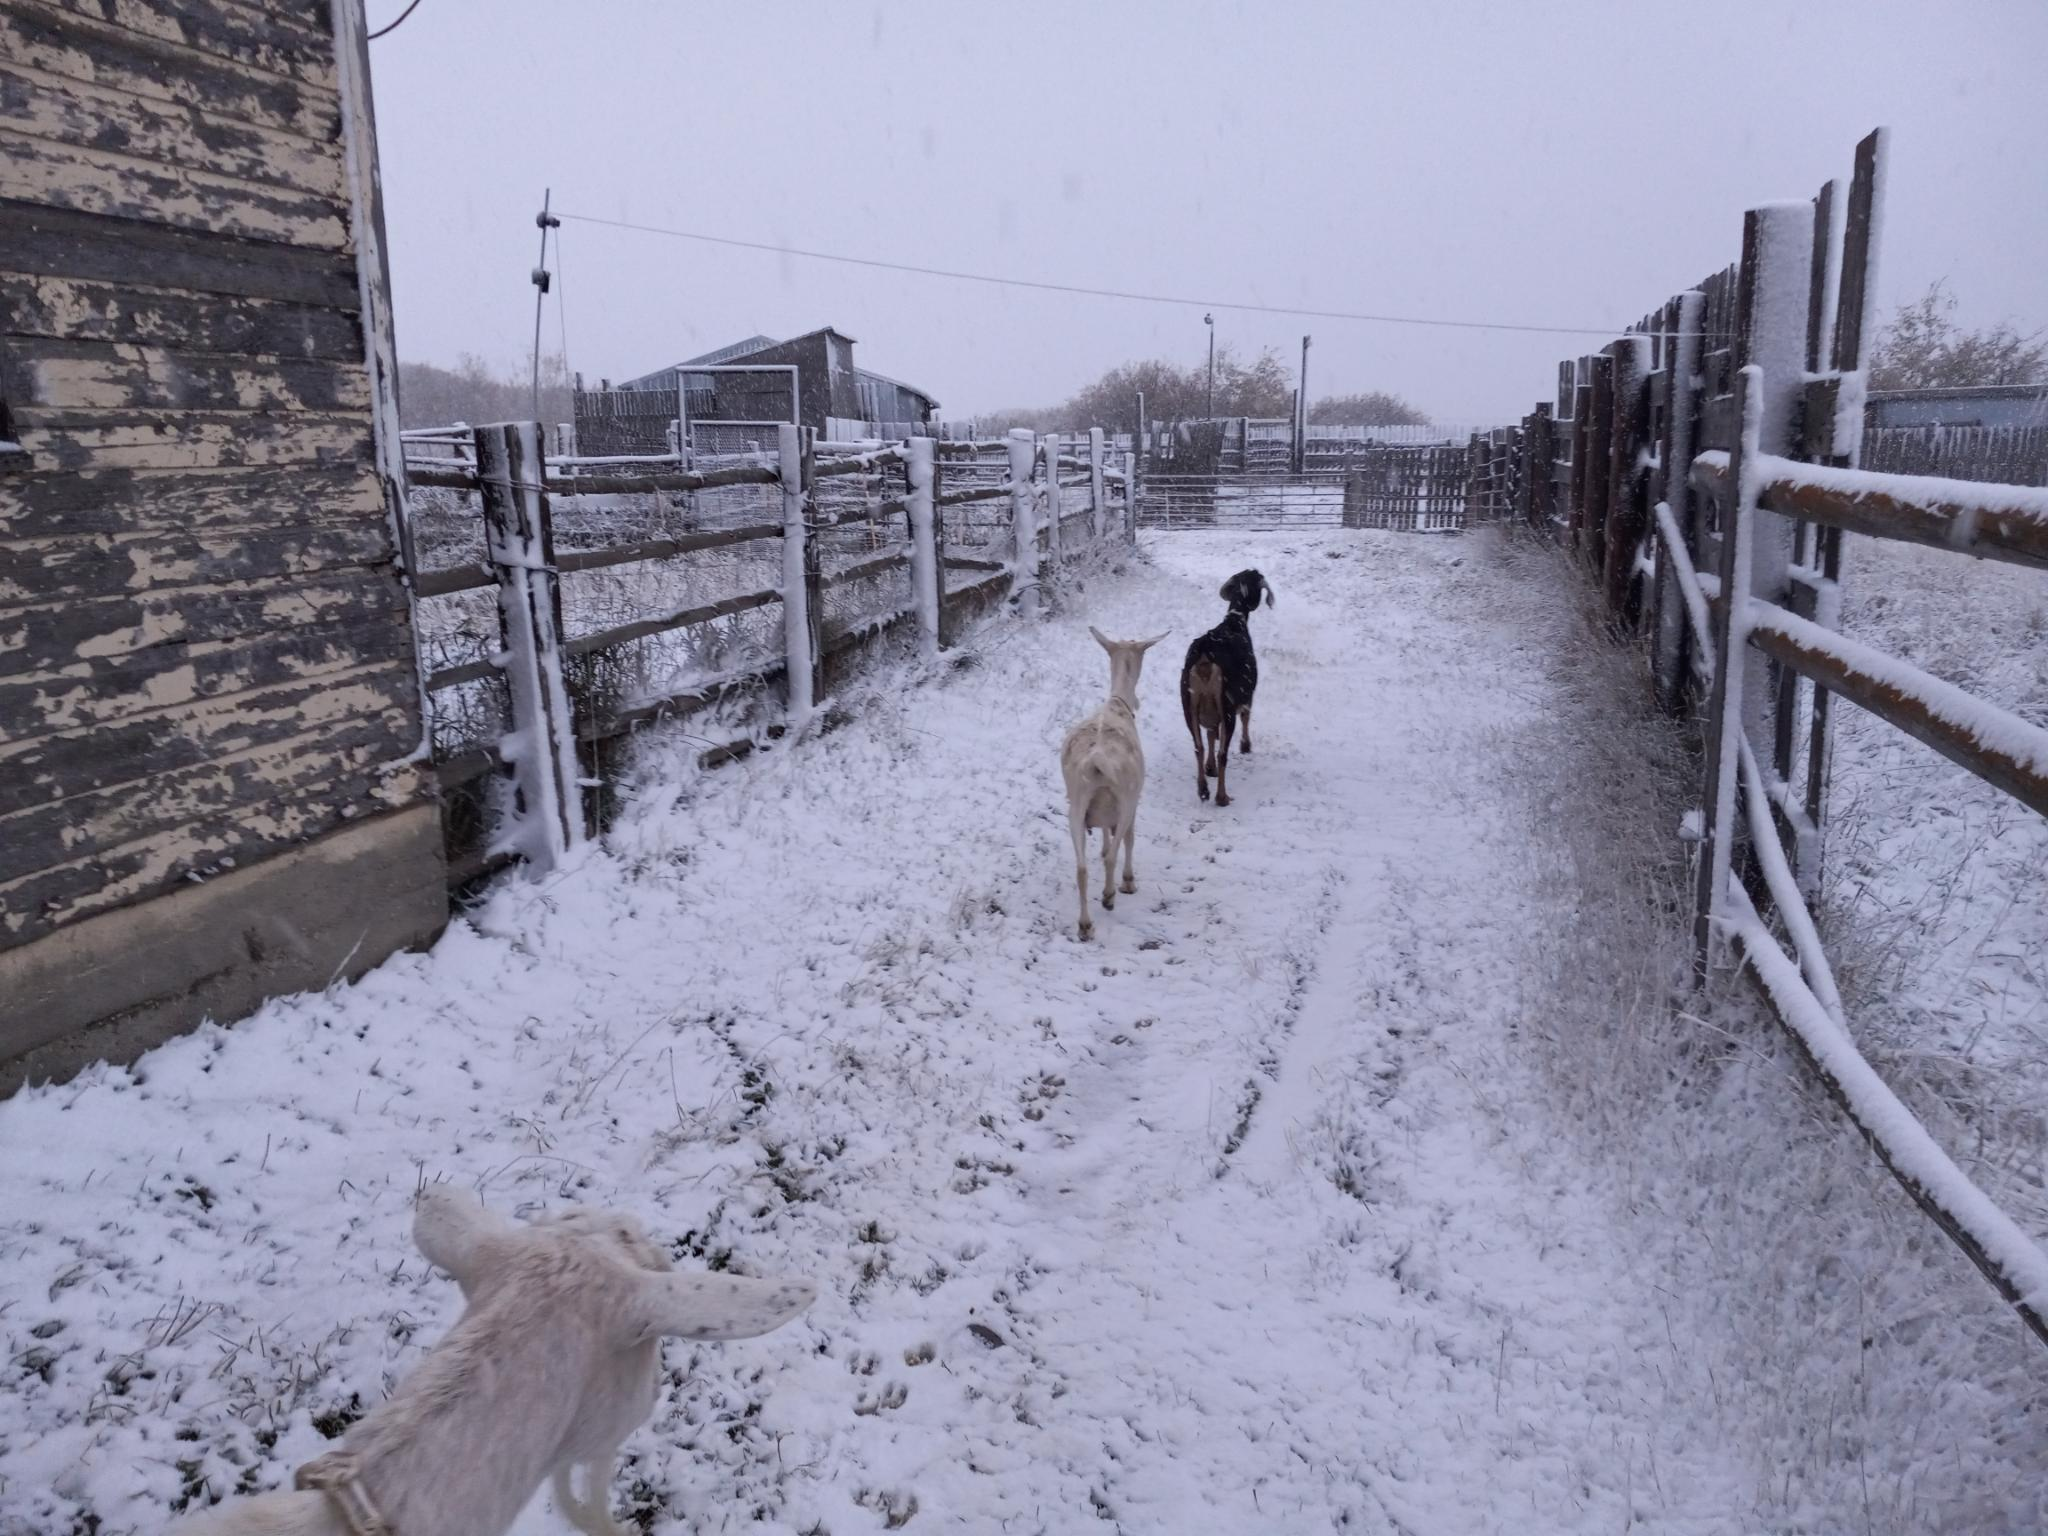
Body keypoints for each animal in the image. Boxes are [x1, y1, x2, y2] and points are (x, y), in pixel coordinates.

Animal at [1060, 627, 1167, 940]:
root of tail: (1096, 761)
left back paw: (1085, 925)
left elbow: (1104, 836)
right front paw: (1129, 881)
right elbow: (1129, 839)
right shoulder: (1133, 801)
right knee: (1116, 854)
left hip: (1076, 806)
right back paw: (1109, 896)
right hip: (1124, 798)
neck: (1117, 702)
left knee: (1081, 869)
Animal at [1179, 568, 1274, 807]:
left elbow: (1211, 734)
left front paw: (1209, 768)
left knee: (1198, 745)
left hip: (1188, 703)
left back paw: (1203, 789)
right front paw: (1246, 746)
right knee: (1224, 752)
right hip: (1226, 702)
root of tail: (1204, 654)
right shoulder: (1247, 694)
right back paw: (1222, 796)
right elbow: (1246, 715)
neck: (1235, 621)